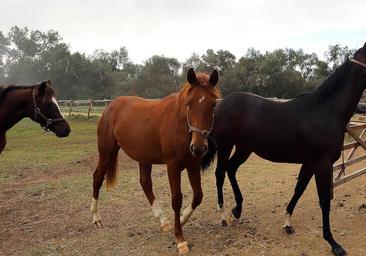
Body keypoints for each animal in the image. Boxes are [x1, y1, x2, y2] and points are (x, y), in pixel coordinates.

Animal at [91, 68, 220, 254]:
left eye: (213, 105)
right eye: (189, 103)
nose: (198, 147)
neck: (179, 124)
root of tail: (110, 106)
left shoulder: (193, 164)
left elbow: (198, 196)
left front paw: (181, 220)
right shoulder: (173, 166)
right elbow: (176, 200)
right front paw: (180, 239)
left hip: (143, 158)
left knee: (145, 183)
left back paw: (163, 221)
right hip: (107, 153)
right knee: (97, 179)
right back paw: (96, 218)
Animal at [202, 43, 366, 255]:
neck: (323, 113)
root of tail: (219, 104)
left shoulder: (310, 163)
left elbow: (299, 189)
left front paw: (287, 223)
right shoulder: (322, 163)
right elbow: (323, 200)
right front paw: (333, 243)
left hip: (244, 148)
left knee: (231, 169)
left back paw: (237, 210)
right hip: (225, 146)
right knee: (220, 174)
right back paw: (223, 216)